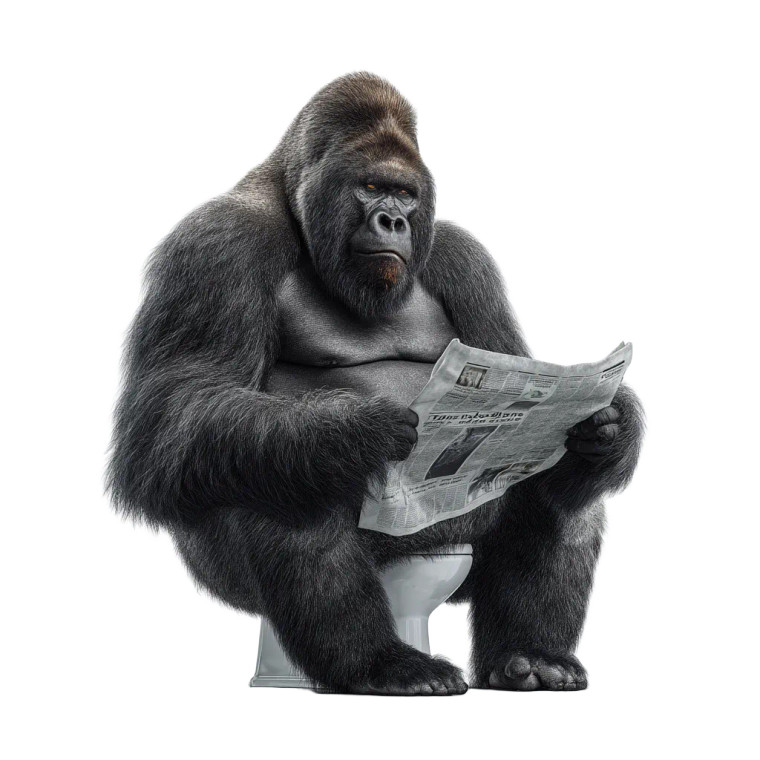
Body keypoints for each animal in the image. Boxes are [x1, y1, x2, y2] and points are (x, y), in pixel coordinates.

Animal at [108, 72, 644, 695]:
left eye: (404, 194)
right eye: (369, 187)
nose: (393, 221)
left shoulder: (466, 260)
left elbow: (518, 365)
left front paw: (609, 425)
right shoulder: (217, 244)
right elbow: (174, 413)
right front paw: (352, 428)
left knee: (568, 493)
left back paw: (532, 655)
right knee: (283, 472)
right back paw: (376, 663)